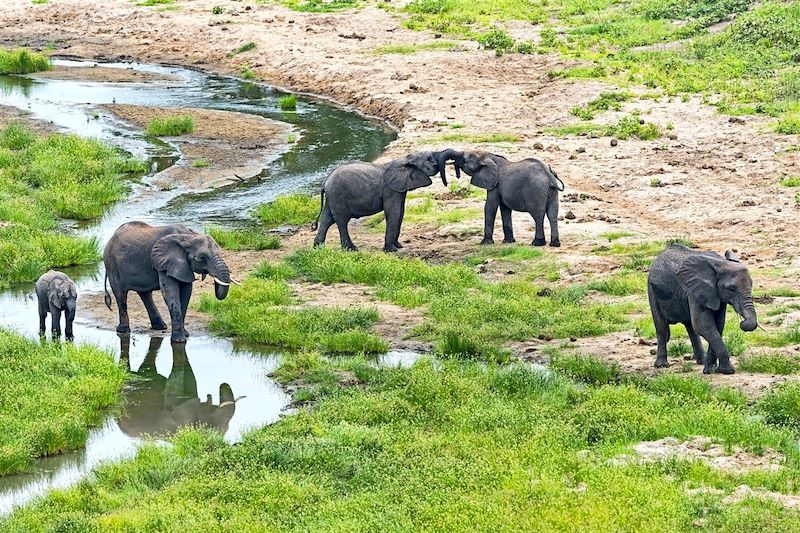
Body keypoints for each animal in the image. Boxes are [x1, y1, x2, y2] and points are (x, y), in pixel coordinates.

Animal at [101, 221, 238, 342]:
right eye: (202, 258)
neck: (188, 236)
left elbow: (186, 292)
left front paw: (185, 334)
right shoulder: (164, 263)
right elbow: (170, 292)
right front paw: (179, 340)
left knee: (145, 294)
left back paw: (160, 327)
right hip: (112, 265)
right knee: (120, 295)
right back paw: (123, 331)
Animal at [312, 148, 462, 251]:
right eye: (429, 158)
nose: (448, 181)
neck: (405, 159)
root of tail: (325, 182)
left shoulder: (400, 188)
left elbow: (401, 212)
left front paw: (398, 246)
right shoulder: (390, 190)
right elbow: (393, 212)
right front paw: (391, 250)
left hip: (333, 196)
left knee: (327, 219)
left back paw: (318, 247)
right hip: (338, 195)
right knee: (341, 220)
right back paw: (351, 249)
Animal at [648, 243, 760, 372]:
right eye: (731, 289)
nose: (742, 322)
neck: (721, 263)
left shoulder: (716, 295)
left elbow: (718, 325)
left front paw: (711, 370)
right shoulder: (695, 291)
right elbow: (704, 325)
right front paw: (727, 371)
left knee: (690, 327)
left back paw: (701, 361)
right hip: (652, 291)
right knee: (661, 327)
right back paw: (662, 365)